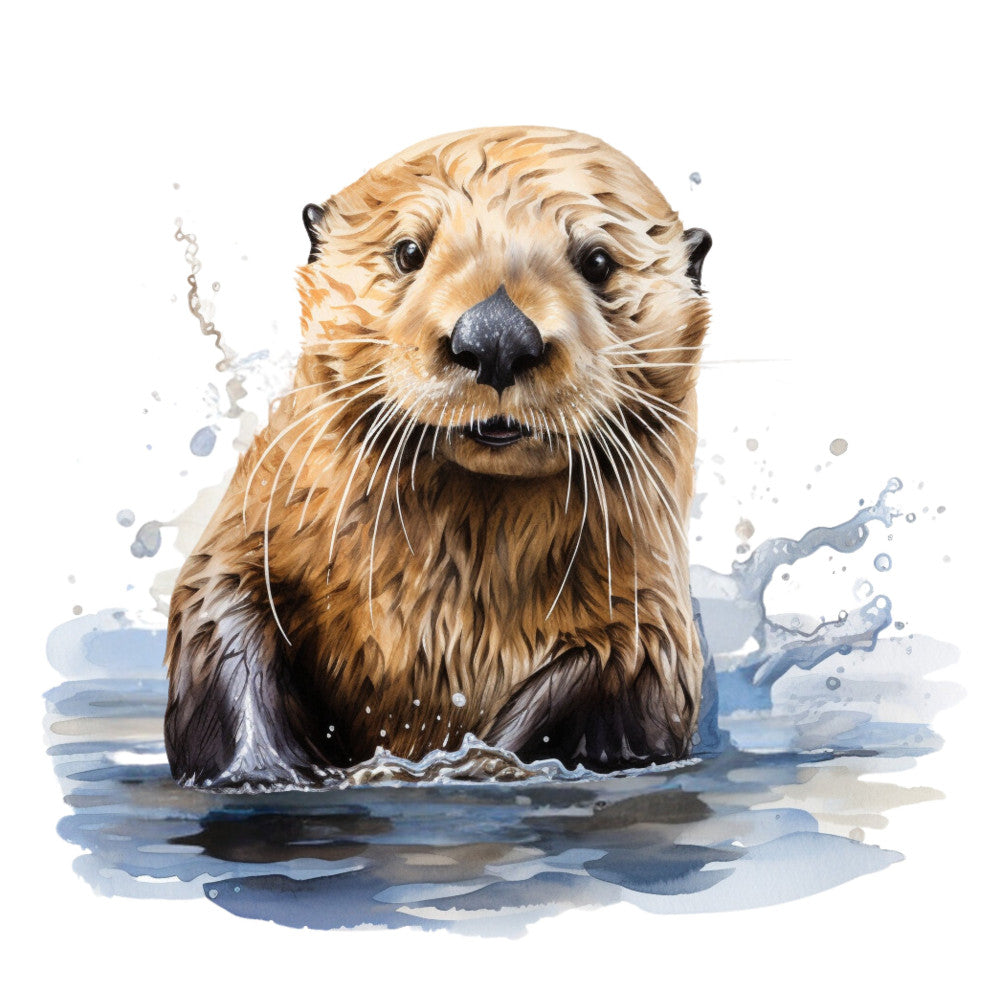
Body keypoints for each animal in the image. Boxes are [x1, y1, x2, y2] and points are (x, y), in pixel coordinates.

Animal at [164, 126, 712, 788]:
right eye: (408, 251)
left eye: (599, 262)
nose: (497, 335)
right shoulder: (254, 528)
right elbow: (221, 619)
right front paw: (264, 771)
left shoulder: (651, 620)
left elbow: (612, 685)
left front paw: (480, 766)